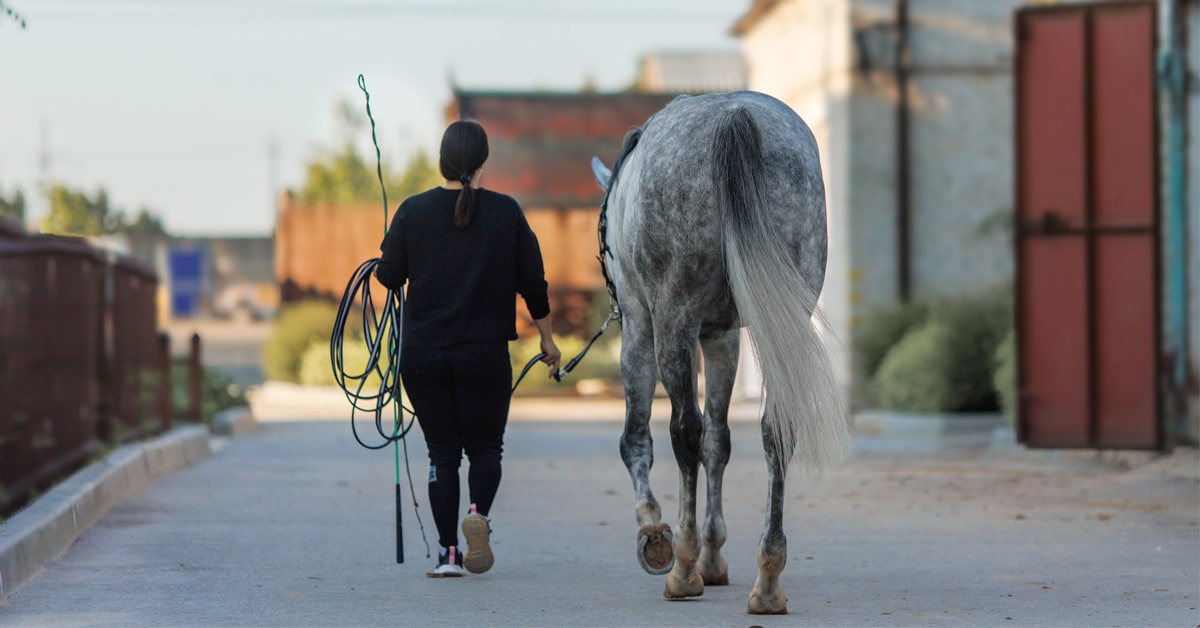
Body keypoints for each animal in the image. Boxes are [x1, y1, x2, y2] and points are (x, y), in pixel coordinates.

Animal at [590, 90, 850, 615]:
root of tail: (734, 118)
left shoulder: (642, 327)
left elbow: (639, 438)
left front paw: (657, 534)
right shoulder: (722, 336)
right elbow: (719, 440)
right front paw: (714, 555)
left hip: (673, 318)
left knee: (683, 431)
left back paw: (684, 568)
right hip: (785, 314)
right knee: (774, 431)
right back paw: (767, 579)